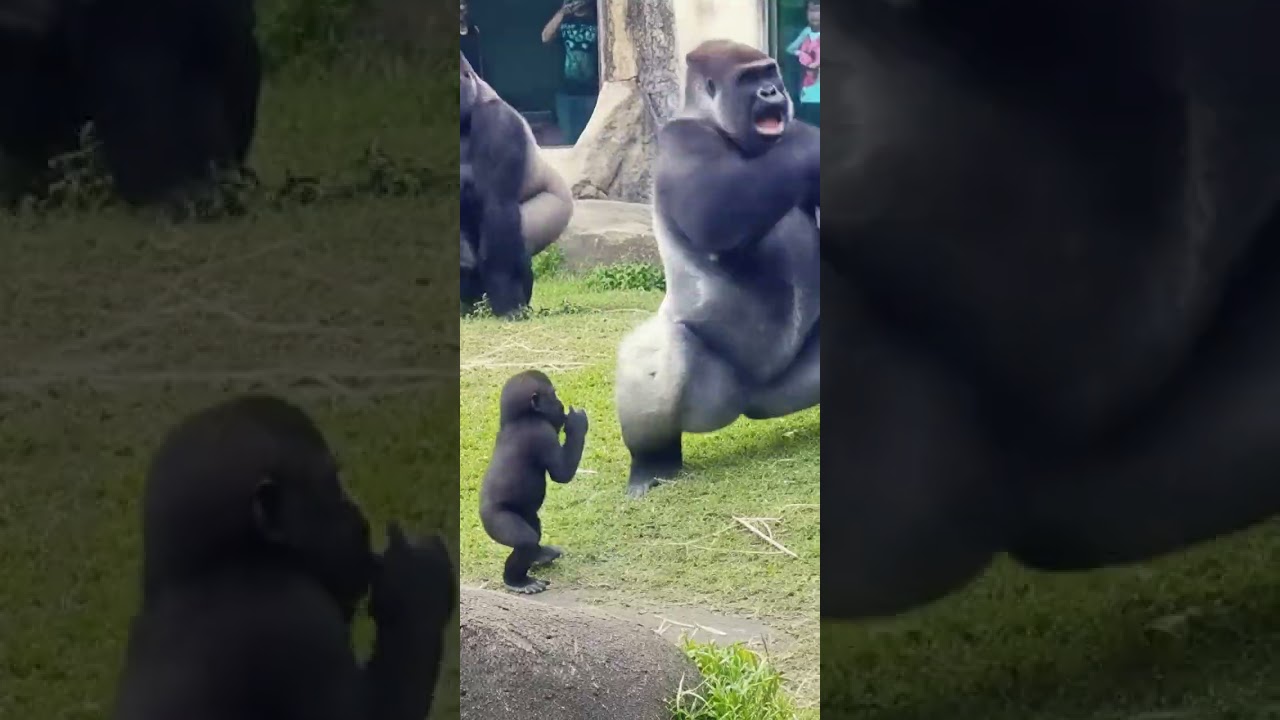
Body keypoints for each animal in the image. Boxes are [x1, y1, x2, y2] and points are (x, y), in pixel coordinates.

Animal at [478, 370, 588, 594]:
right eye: (553, 395)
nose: (560, 404)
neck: (518, 418)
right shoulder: (541, 432)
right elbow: (561, 473)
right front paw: (577, 424)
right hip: (496, 519)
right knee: (525, 542)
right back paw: (517, 581)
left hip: (525, 514)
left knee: (534, 530)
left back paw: (540, 556)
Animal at [614, 39, 820, 498]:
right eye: (748, 80)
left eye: (769, 73)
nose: (771, 92)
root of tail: (760, 399)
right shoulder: (680, 141)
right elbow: (716, 213)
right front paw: (811, 140)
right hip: (718, 392)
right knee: (655, 353)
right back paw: (651, 462)